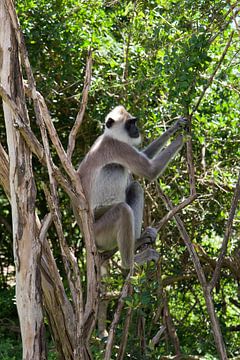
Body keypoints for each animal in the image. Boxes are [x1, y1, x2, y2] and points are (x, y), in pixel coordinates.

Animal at [77, 105, 189, 268]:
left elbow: (146, 156)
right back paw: (131, 263)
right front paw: (183, 137)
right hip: (99, 231)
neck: (110, 136)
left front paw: (175, 127)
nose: (136, 129)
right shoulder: (117, 147)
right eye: (130, 124)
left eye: (134, 122)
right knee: (123, 209)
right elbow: (150, 170)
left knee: (135, 187)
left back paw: (138, 241)